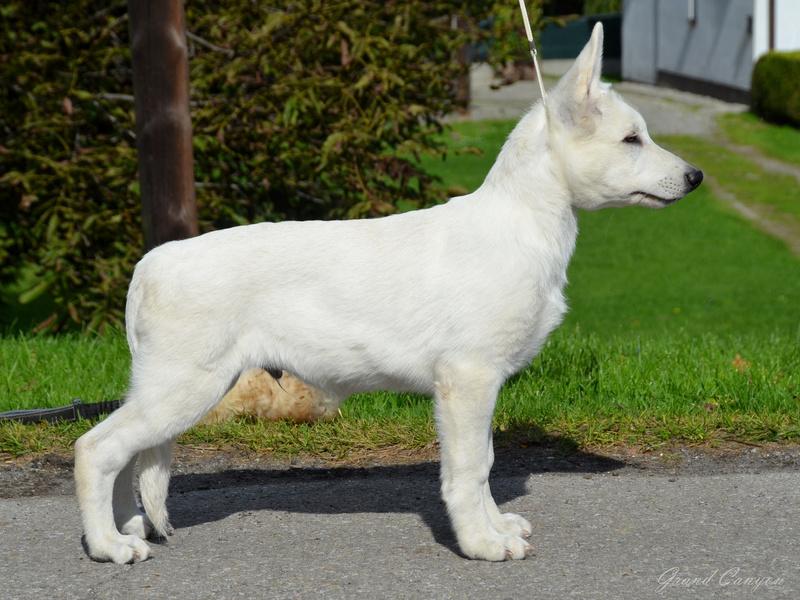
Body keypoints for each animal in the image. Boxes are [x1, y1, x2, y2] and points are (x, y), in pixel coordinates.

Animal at [73, 23, 700, 564]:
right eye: (632, 139)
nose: (695, 177)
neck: (522, 221)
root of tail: (149, 265)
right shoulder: (467, 381)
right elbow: (470, 470)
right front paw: (482, 544)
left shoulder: (479, 386)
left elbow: (485, 462)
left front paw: (497, 527)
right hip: (183, 388)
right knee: (96, 449)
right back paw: (109, 547)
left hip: (166, 390)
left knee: (125, 459)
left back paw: (127, 531)